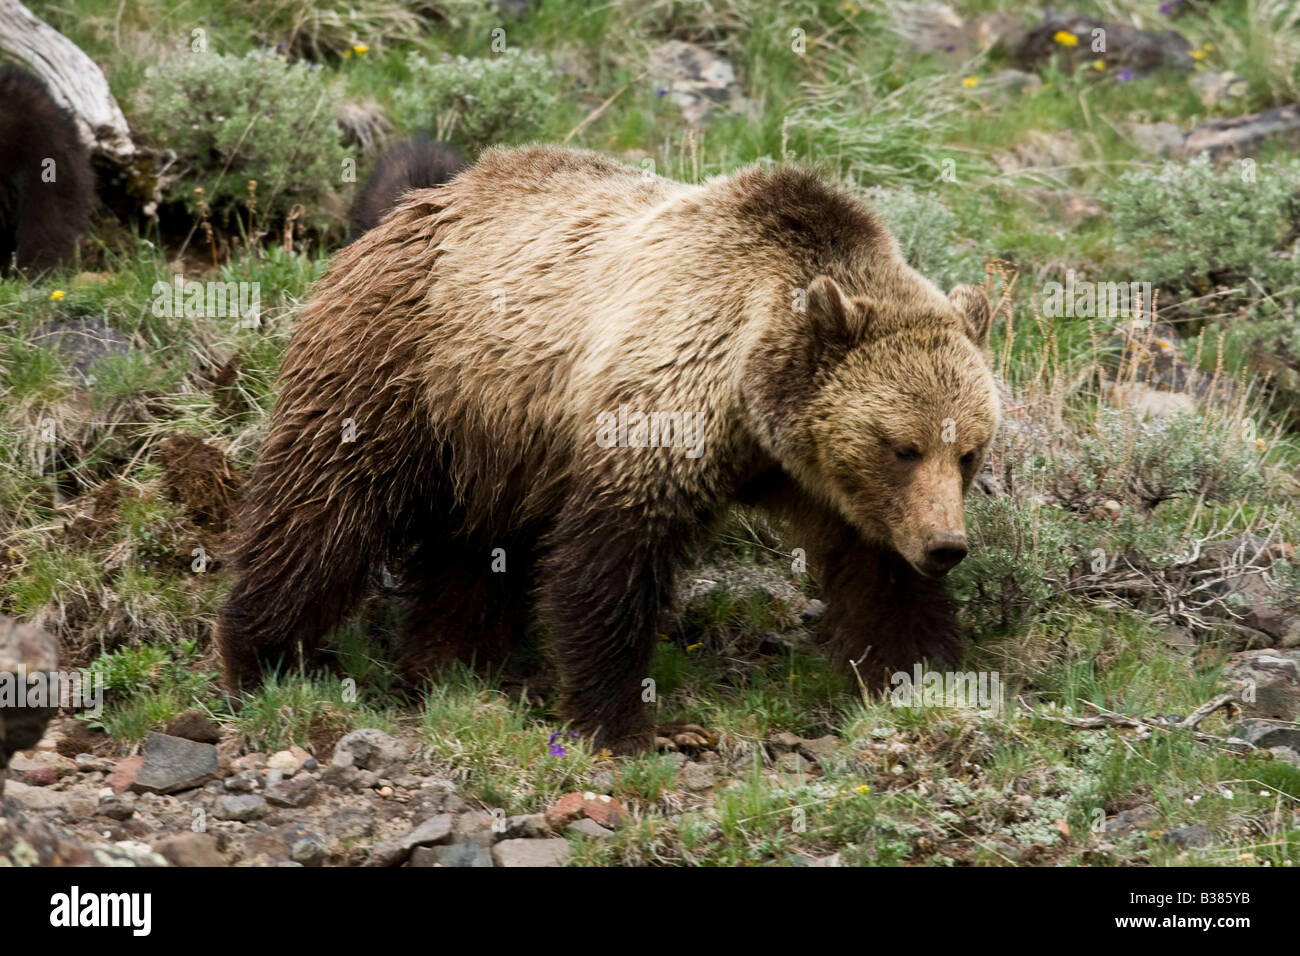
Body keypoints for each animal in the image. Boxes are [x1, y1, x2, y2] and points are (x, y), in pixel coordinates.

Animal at [218, 143, 998, 754]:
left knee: (477, 550)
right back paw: (265, 657)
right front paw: (629, 724)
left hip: (502, 438)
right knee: (327, 508)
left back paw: (452, 666)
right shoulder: (669, 397)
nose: (946, 546)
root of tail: (417, 204)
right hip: (404, 371)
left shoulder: (831, 482)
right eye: (902, 447)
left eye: (968, 452)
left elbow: (880, 576)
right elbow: (611, 560)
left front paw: (925, 679)